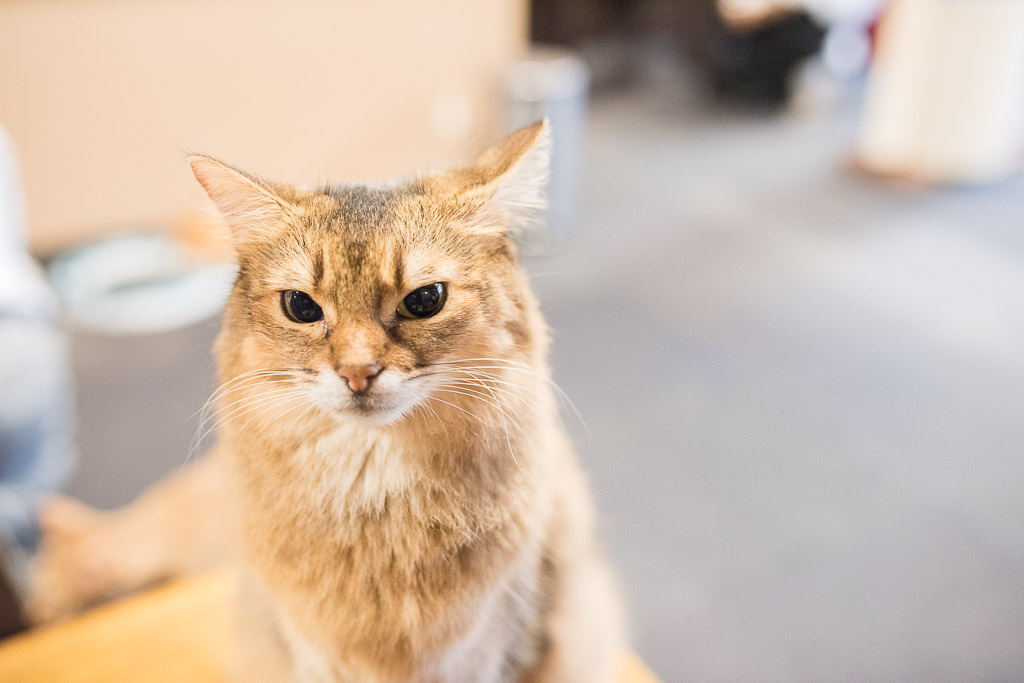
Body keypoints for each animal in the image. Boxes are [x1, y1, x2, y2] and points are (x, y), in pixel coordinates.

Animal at [25, 124, 622, 683]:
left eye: (425, 300)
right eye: (301, 307)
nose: (358, 372)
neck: (375, 497)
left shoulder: (500, 643)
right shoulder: (308, 652)